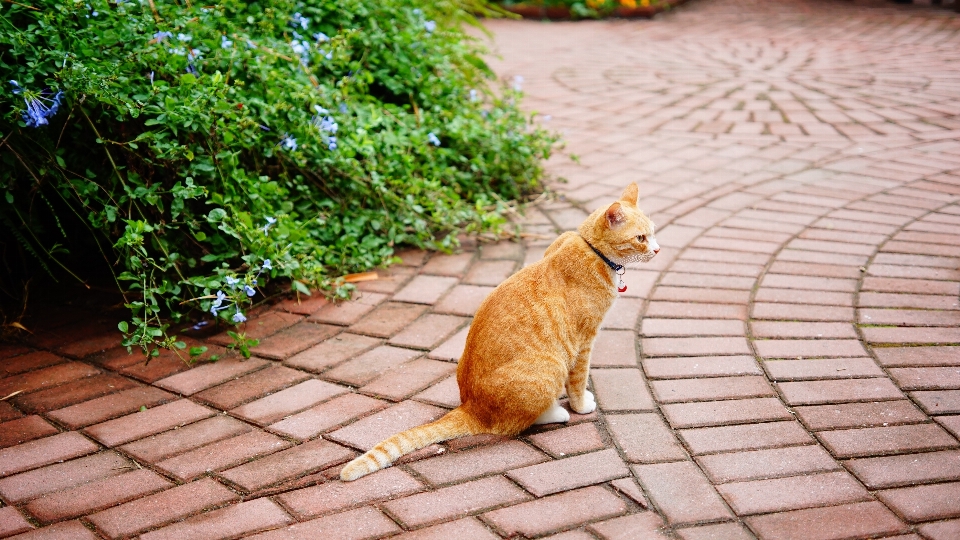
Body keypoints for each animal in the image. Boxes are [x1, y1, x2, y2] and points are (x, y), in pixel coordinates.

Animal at [340, 182, 660, 480]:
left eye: (654, 232)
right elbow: (578, 382)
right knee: (517, 422)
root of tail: (471, 407)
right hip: (551, 366)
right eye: (640, 238)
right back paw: (556, 412)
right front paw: (581, 405)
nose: (657, 249)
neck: (591, 250)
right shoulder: (584, 342)